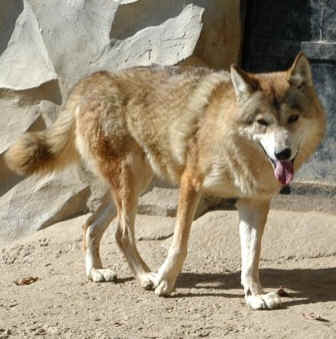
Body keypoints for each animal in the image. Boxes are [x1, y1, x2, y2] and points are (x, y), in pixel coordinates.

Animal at [5, 53, 326, 310]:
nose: (283, 153)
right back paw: (146, 275)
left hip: (136, 184)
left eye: (293, 118)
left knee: (90, 226)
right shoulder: (191, 184)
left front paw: (254, 295)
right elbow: (179, 243)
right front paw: (165, 281)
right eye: (262, 122)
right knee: (121, 234)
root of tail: (92, 79)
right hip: (130, 184)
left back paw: (96, 272)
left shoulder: (253, 203)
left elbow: (251, 258)